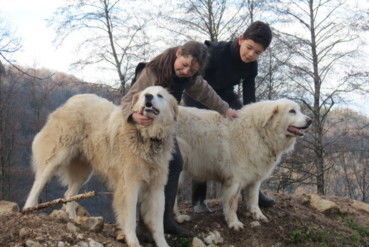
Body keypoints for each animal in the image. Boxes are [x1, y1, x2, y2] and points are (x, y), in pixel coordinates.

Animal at [24, 86, 177, 247]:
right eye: (144, 94)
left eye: (160, 95)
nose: (148, 96)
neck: (146, 136)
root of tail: (73, 99)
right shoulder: (129, 186)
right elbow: (129, 219)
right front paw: (133, 241)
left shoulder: (156, 189)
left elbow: (158, 225)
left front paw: (163, 244)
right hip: (57, 156)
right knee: (39, 182)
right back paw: (29, 207)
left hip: (83, 172)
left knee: (69, 194)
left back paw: (73, 219)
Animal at [174, 99, 310, 231]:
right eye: (292, 111)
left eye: (299, 110)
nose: (310, 120)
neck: (260, 132)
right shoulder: (234, 180)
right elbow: (231, 204)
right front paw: (234, 222)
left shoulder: (255, 176)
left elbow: (254, 198)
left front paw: (257, 214)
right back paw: (178, 217)